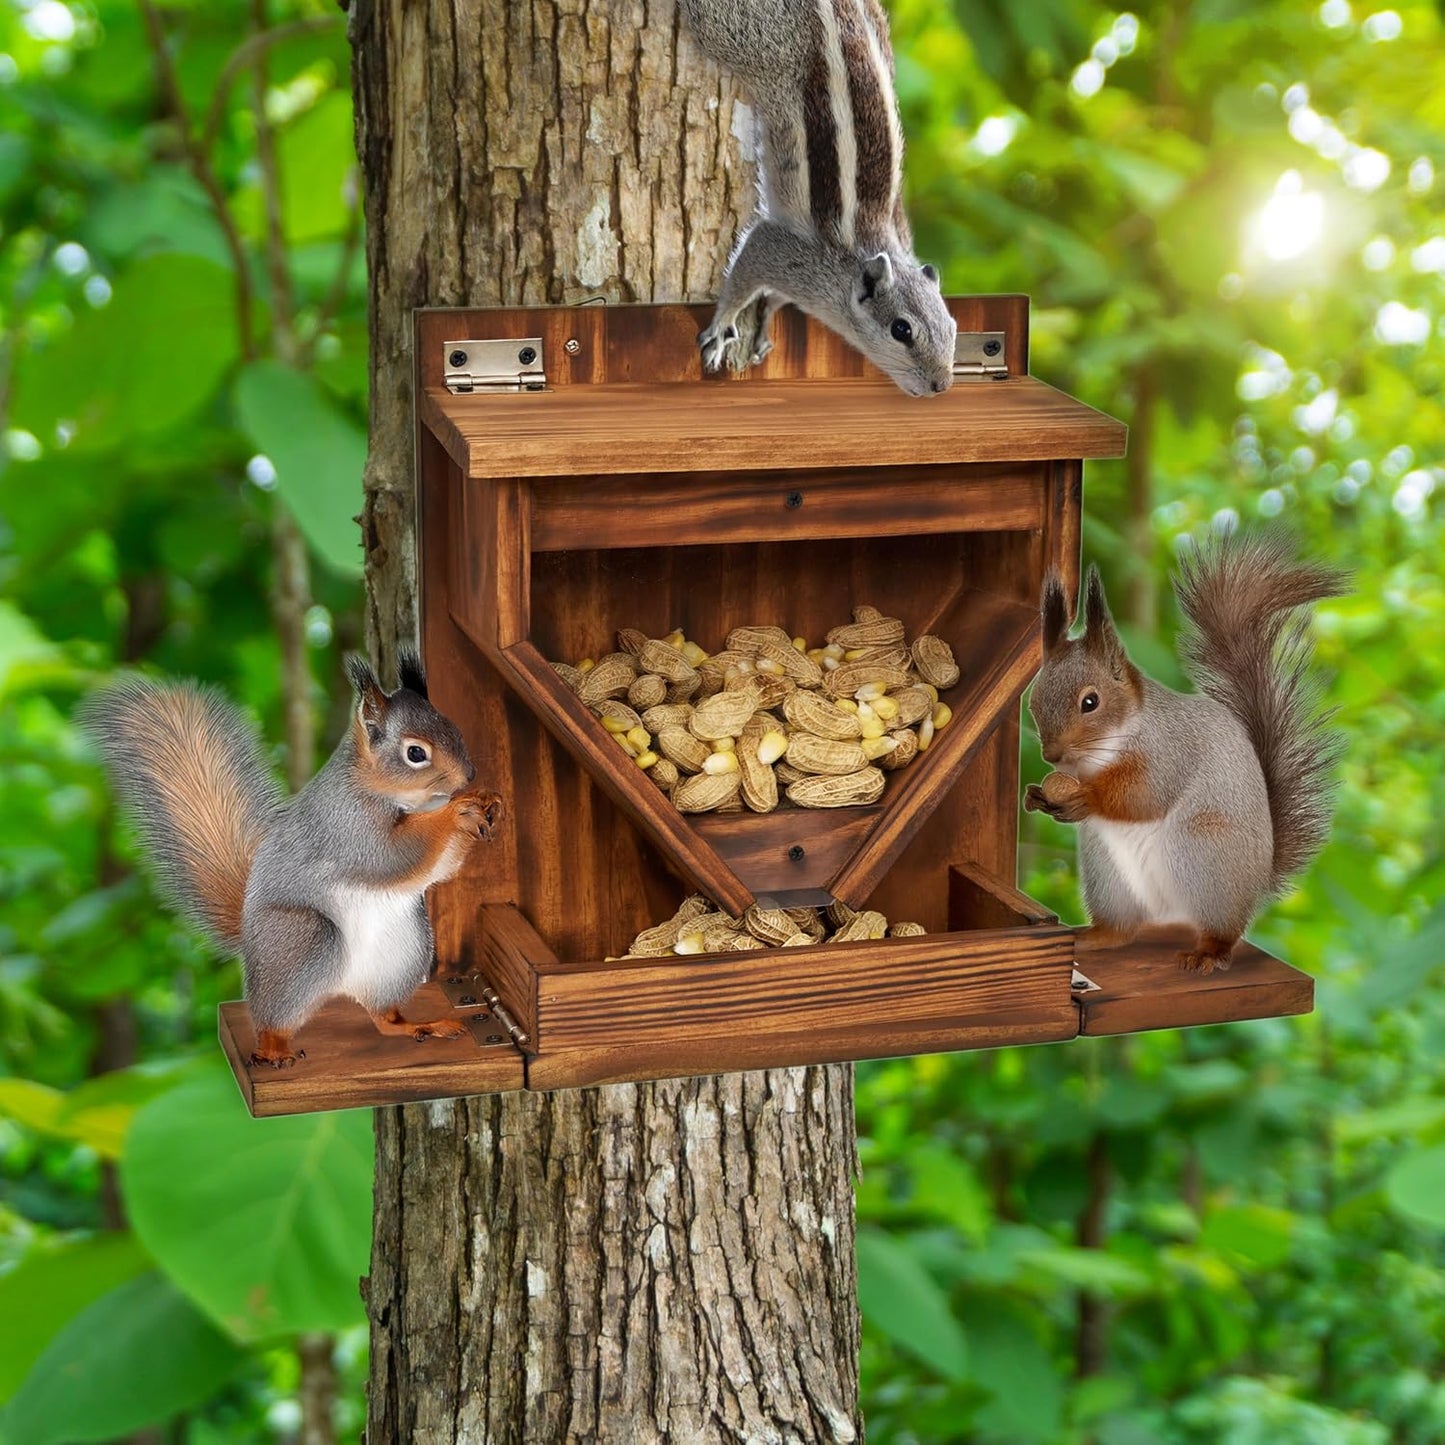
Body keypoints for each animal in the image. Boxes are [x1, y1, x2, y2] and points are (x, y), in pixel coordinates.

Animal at [80, 654, 502, 1067]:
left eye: (453, 728)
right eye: (416, 753)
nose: (468, 776)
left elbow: (440, 868)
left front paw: (483, 803)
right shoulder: (346, 825)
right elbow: (392, 855)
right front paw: (457, 810)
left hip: (402, 954)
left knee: (382, 1017)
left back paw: (419, 1025)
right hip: (303, 939)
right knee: (274, 1017)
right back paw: (273, 1048)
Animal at [679, 0, 957, 396]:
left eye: (952, 327)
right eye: (901, 330)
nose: (942, 385)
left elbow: (774, 299)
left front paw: (766, 320)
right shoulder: (784, 254)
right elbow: (743, 277)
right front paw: (722, 325)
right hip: (734, 34)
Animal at [1024, 532, 1347, 974]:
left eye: (1090, 702)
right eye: (1033, 702)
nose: (1052, 755)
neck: (1098, 756)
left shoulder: (1168, 751)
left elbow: (1143, 795)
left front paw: (1086, 797)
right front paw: (1036, 795)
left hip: (1202, 850)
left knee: (1224, 931)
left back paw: (1208, 952)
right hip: (1108, 874)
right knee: (1123, 927)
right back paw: (1097, 937)